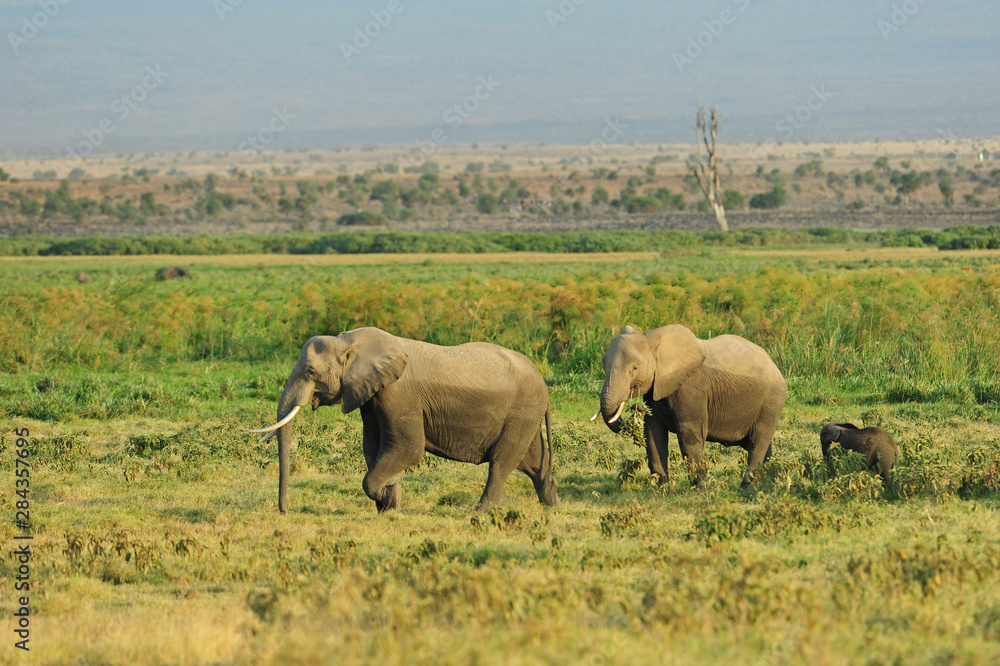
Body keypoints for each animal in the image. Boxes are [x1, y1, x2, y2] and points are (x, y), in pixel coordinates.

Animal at [251, 327, 559, 514]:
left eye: (311, 372)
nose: (284, 511)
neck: (349, 341)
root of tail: (544, 386)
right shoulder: (370, 394)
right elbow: (372, 446)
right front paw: (388, 502)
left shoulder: (398, 394)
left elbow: (408, 449)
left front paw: (393, 497)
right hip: (524, 415)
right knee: (534, 462)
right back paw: (552, 507)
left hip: (521, 412)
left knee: (502, 462)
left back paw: (480, 512)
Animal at [594, 324, 786, 488]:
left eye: (635, 368)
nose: (637, 407)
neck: (653, 340)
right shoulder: (655, 388)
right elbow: (653, 431)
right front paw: (660, 488)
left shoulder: (691, 387)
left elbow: (690, 432)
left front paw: (701, 489)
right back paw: (772, 485)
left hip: (772, 400)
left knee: (757, 440)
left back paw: (747, 488)